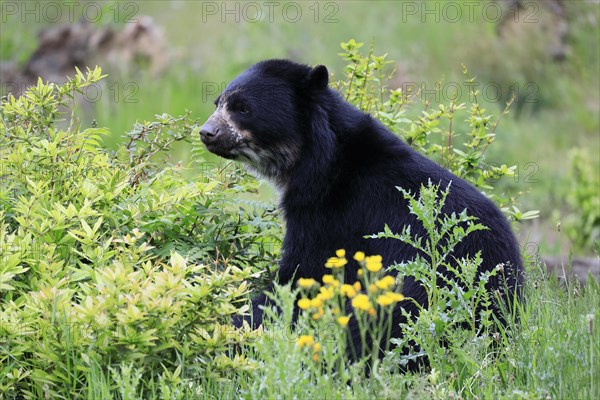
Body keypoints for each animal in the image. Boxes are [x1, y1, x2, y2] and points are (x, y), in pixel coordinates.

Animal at [199, 57, 524, 368]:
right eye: (217, 103)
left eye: (243, 108)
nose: (206, 132)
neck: (314, 160)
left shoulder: (330, 213)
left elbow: (302, 276)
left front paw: (235, 326)